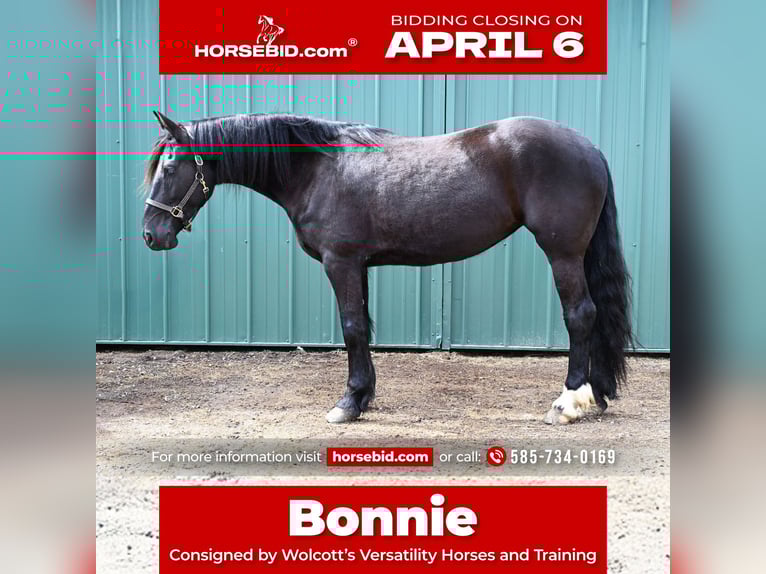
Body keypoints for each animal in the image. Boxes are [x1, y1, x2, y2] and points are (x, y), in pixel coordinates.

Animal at [143, 111, 632, 425]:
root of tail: (589, 148)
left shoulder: (340, 262)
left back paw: (568, 403)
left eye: (170, 166)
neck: (316, 168)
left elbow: (352, 327)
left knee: (581, 315)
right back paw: (598, 395)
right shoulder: (358, 264)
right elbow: (363, 326)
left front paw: (347, 404)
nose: (151, 234)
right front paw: (363, 398)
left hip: (562, 252)